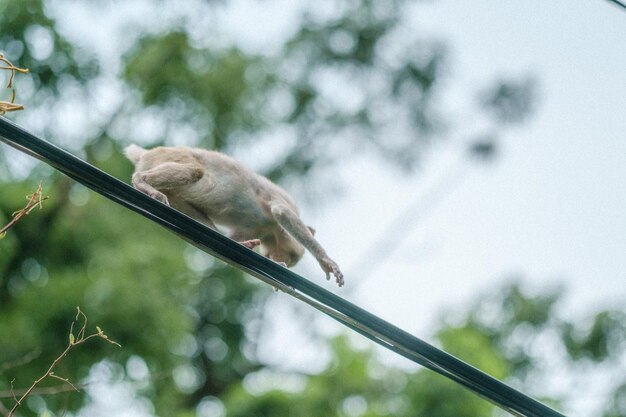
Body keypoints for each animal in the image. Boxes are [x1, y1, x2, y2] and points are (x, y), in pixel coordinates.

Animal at [124, 144, 344, 286]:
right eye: (291, 258)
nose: (281, 261)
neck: (272, 232)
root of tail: (145, 154)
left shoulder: (257, 231)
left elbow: (229, 247)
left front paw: (246, 246)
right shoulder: (284, 200)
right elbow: (282, 213)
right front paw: (327, 262)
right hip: (170, 157)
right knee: (196, 171)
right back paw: (142, 182)